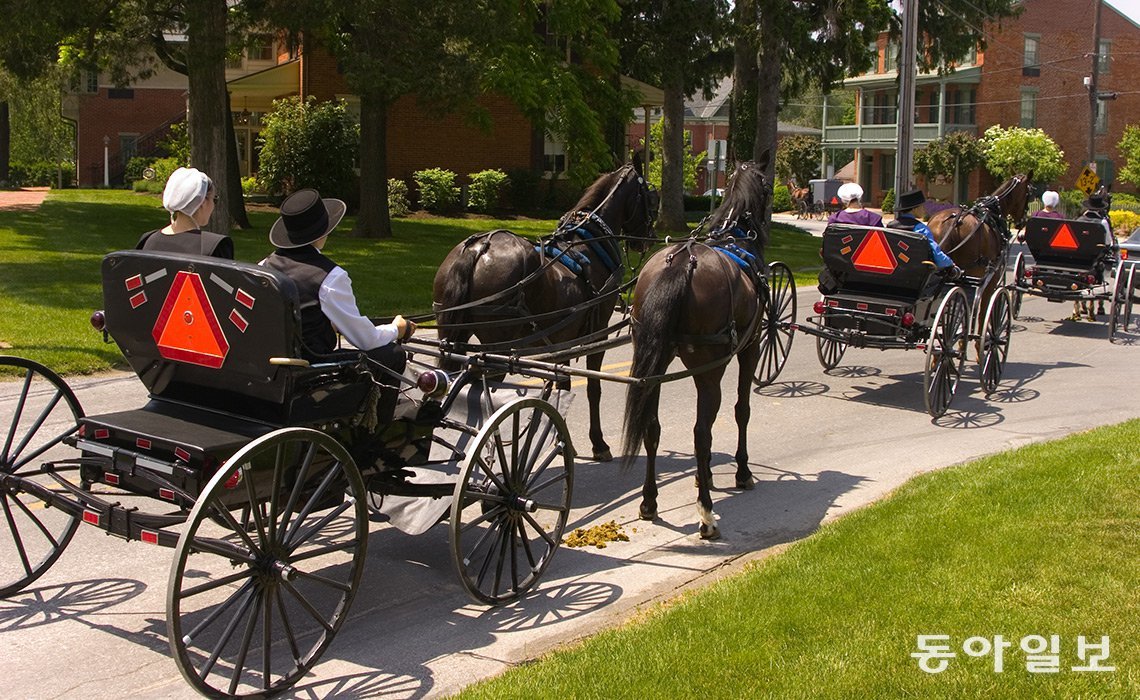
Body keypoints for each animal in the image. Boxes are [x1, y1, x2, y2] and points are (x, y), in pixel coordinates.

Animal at [430, 161, 656, 462]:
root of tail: (480, 247)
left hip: (453, 333)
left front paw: (562, 440)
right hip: (495, 347)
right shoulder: (597, 333)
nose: (648, 239)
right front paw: (598, 444)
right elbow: (593, 387)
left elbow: (564, 384)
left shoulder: (564, 339)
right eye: (651, 198)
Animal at [624, 160, 775, 542]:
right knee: (700, 433)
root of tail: (681, 263)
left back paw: (649, 501)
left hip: (656, 364)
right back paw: (706, 514)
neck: (736, 237)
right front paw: (741, 472)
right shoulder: (751, 347)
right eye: (768, 186)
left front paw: (702, 475)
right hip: (710, 370)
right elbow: (741, 410)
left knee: (652, 428)